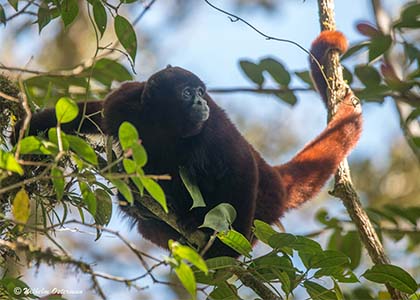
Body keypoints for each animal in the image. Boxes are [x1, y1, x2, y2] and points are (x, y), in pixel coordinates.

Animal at [13, 31, 360, 258]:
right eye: (186, 92)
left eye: (201, 92)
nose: (201, 102)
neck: (164, 125)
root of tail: (275, 181)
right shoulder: (123, 103)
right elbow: (90, 114)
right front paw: (31, 132)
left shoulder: (212, 130)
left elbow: (240, 167)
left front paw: (224, 251)